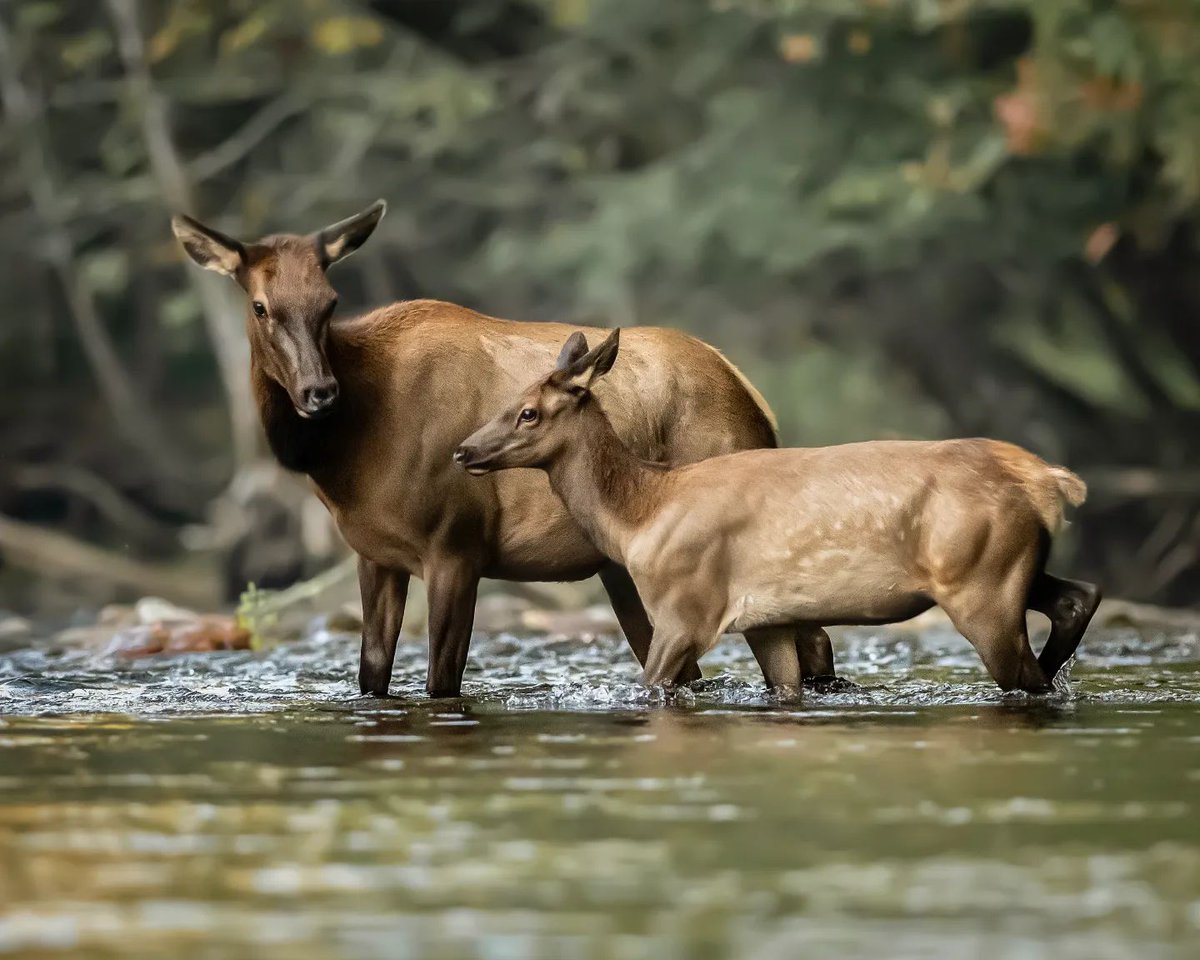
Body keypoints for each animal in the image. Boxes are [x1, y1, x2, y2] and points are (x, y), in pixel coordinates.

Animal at [171, 204, 835, 696]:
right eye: (261, 306)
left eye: (330, 304)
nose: (319, 392)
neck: (345, 460)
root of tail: (755, 400)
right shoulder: (374, 554)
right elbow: (371, 674)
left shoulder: (455, 546)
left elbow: (441, 681)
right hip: (625, 566)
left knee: (805, 647)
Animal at [453, 331, 1099, 691]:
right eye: (510, 402)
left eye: (529, 412)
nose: (462, 449)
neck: (639, 516)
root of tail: (1048, 479)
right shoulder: (764, 617)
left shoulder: (685, 608)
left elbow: (651, 687)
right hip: (1004, 567)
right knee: (1078, 594)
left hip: (980, 583)